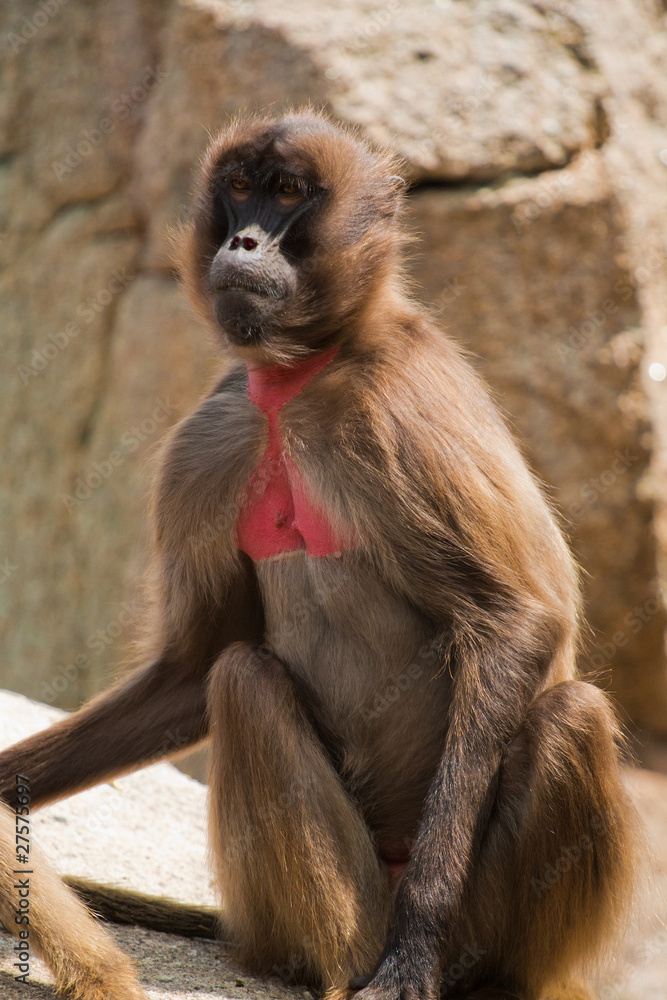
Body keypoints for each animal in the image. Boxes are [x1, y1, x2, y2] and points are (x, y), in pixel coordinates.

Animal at [0, 109, 638, 1000]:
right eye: (239, 187)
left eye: (287, 194)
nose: (245, 242)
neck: (299, 379)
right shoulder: (211, 436)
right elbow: (196, 664)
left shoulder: (396, 407)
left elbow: (516, 622)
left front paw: (413, 948)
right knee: (243, 676)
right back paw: (340, 968)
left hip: (479, 918)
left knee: (569, 714)